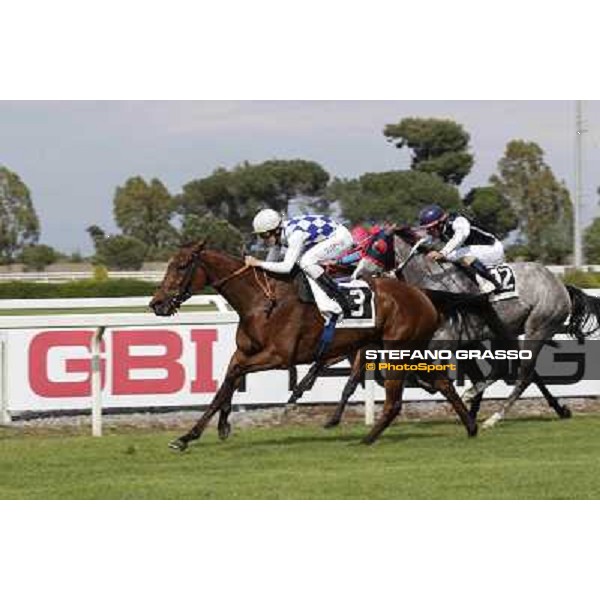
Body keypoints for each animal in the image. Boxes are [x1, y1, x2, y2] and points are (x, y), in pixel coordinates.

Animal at [150, 240, 478, 450]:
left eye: (181, 266)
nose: (156, 303)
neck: (261, 300)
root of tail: (422, 294)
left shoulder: (278, 355)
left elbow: (235, 375)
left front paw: (213, 428)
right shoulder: (244, 352)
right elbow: (226, 384)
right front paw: (195, 434)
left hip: (395, 350)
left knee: (395, 401)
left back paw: (366, 439)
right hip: (413, 348)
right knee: (443, 383)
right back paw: (471, 426)